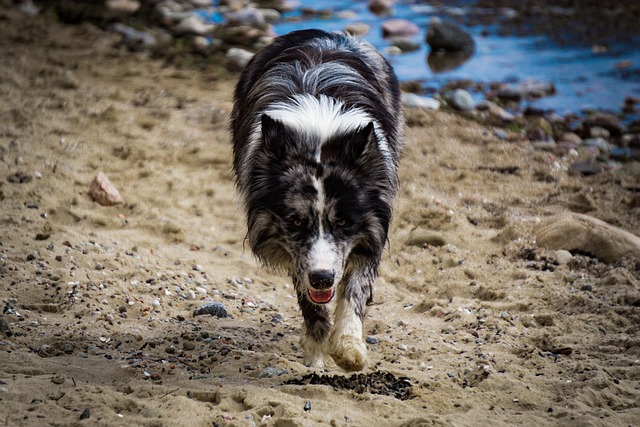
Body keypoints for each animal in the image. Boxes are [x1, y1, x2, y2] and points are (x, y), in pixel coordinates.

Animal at [229, 29, 400, 372]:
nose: (322, 279)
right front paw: (318, 354)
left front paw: (348, 347)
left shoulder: (370, 232)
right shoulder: (296, 251)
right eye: (296, 221)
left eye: (344, 221)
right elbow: (309, 303)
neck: (318, 140)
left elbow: (355, 290)